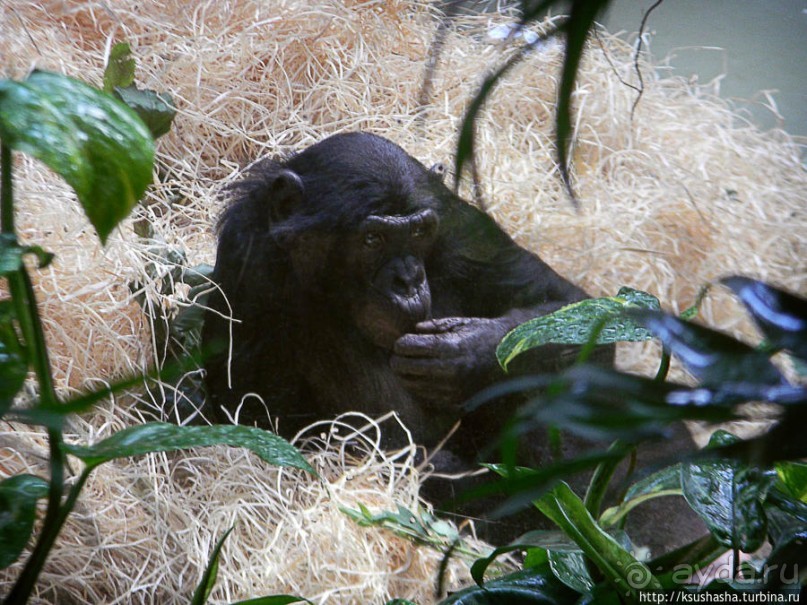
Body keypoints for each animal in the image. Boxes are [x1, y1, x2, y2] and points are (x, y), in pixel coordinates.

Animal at [202, 133, 700, 548]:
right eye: (372, 238)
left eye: (419, 232)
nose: (406, 280)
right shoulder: (250, 263)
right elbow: (254, 420)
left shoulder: (460, 223)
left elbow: (567, 305)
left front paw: (469, 353)